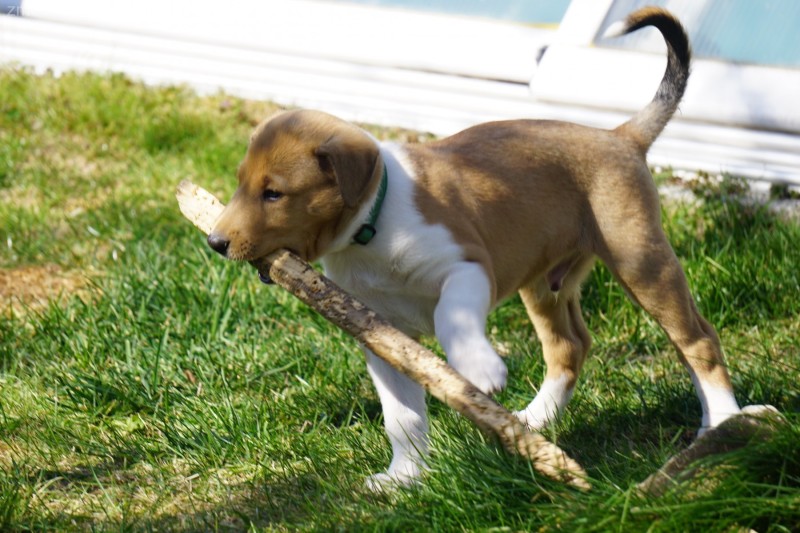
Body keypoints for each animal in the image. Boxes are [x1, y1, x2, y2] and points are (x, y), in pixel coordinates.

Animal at [206, 9, 768, 490]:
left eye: (274, 193)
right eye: (240, 183)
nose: (214, 242)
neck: (373, 226)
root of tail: (620, 136)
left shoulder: (466, 267)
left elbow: (451, 317)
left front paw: (481, 372)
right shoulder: (381, 335)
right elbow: (401, 414)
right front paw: (405, 477)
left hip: (641, 259)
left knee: (697, 339)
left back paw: (722, 423)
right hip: (546, 283)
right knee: (569, 348)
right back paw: (531, 423)